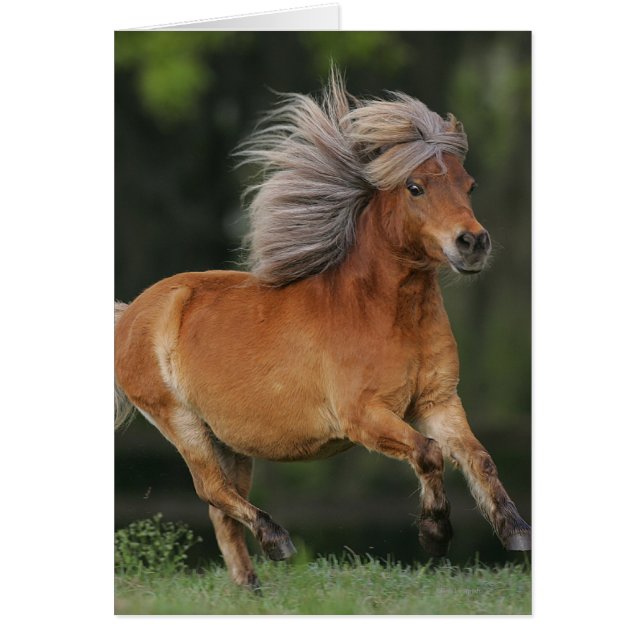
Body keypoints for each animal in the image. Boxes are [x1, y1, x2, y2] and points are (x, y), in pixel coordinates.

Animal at [114, 70, 531, 590]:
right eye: (415, 187)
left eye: (469, 185)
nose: (472, 243)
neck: (386, 314)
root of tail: (130, 314)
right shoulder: (363, 416)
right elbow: (430, 454)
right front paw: (435, 534)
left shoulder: (437, 402)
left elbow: (479, 457)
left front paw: (516, 532)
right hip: (179, 420)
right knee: (211, 489)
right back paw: (278, 541)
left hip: (228, 440)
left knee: (221, 509)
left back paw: (251, 588)